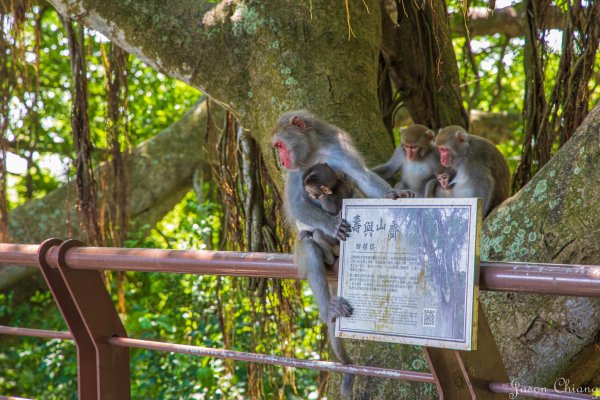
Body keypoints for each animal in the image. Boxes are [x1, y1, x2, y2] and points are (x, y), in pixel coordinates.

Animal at [272, 108, 394, 396]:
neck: (312, 151)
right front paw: (333, 224)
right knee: (309, 247)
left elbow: (360, 176)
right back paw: (329, 306)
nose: (281, 161)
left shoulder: (338, 147)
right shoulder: (296, 172)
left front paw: (397, 195)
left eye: (279, 146)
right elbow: (297, 205)